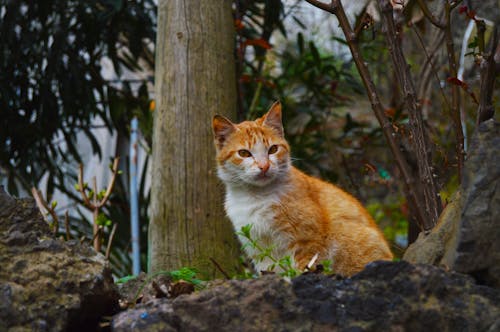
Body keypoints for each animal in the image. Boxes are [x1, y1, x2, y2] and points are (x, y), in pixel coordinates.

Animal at [211, 102, 390, 278]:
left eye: (273, 149)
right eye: (244, 153)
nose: (264, 166)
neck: (255, 197)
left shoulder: (306, 243)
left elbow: (302, 270)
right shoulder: (258, 249)